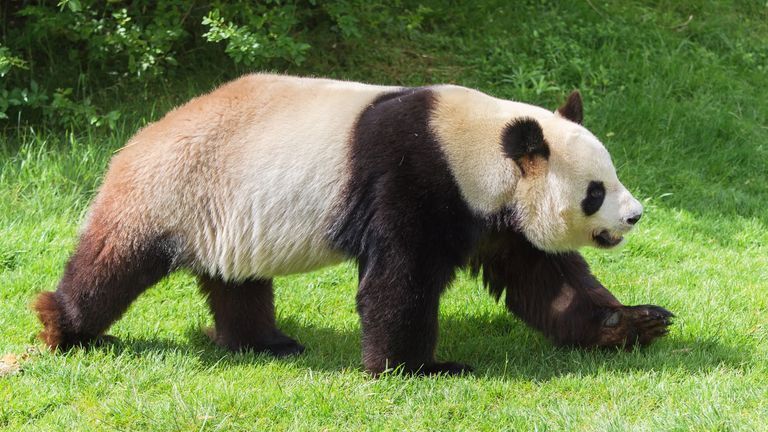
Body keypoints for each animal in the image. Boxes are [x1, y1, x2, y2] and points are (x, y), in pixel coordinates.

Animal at [34, 73, 672, 374]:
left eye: (612, 176)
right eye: (595, 192)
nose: (635, 215)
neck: (479, 146)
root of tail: (136, 139)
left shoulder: (497, 214)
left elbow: (544, 277)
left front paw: (632, 323)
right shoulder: (415, 176)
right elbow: (400, 279)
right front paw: (419, 368)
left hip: (227, 213)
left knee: (236, 282)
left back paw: (266, 343)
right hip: (172, 190)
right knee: (113, 263)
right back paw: (61, 325)